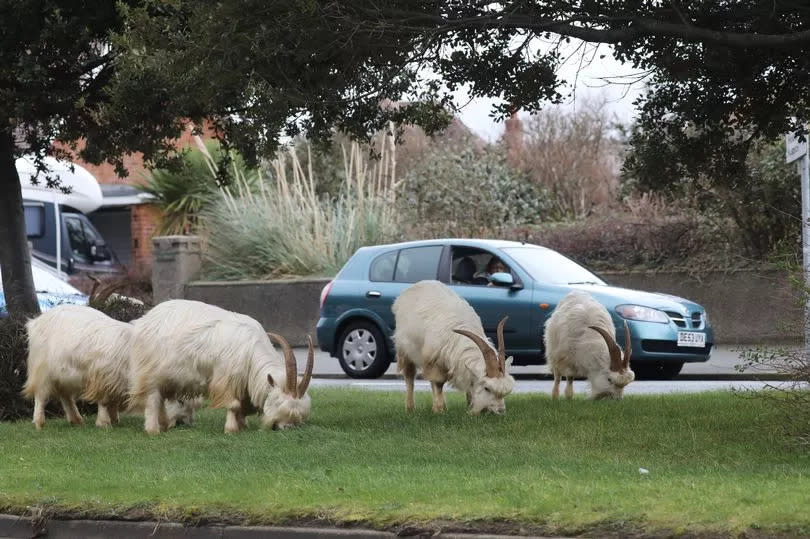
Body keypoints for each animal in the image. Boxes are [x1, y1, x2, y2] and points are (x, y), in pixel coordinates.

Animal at [20, 308, 199, 430]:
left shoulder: (116, 381)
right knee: (41, 396)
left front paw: (114, 419)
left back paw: (76, 420)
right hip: (42, 370)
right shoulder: (103, 377)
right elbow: (105, 401)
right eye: (181, 400)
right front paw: (104, 422)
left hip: (65, 376)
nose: (187, 423)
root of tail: (35, 321)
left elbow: (113, 400)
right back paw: (39, 422)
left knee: (66, 396)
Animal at [129, 300, 312, 434]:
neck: (251, 349)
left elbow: (242, 407)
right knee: (152, 399)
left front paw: (242, 425)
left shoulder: (243, 384)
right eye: (278, 402)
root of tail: (143, 321)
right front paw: (231, 429)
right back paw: (153, 430)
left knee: (160, 399)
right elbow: (234, 405)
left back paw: (164, 424)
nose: (287, 428)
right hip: (150, 372)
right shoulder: (228, 378)